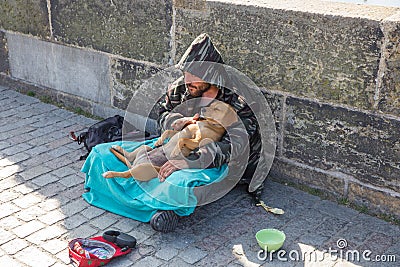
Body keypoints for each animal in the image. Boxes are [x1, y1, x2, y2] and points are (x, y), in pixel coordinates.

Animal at [102, 101, 238, 183]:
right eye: (211, 105)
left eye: (217, 109)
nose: (202, 109)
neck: (208, 123)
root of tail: (135, 164)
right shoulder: (182, 131)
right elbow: (168, 131)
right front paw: (159, 141)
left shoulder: (197, 141)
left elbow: (183, 140)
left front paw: (175, 151)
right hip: (145, 148)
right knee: (130, 156)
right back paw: (117, 147)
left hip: (143, 168)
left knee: (126, 174)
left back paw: (109, 174)